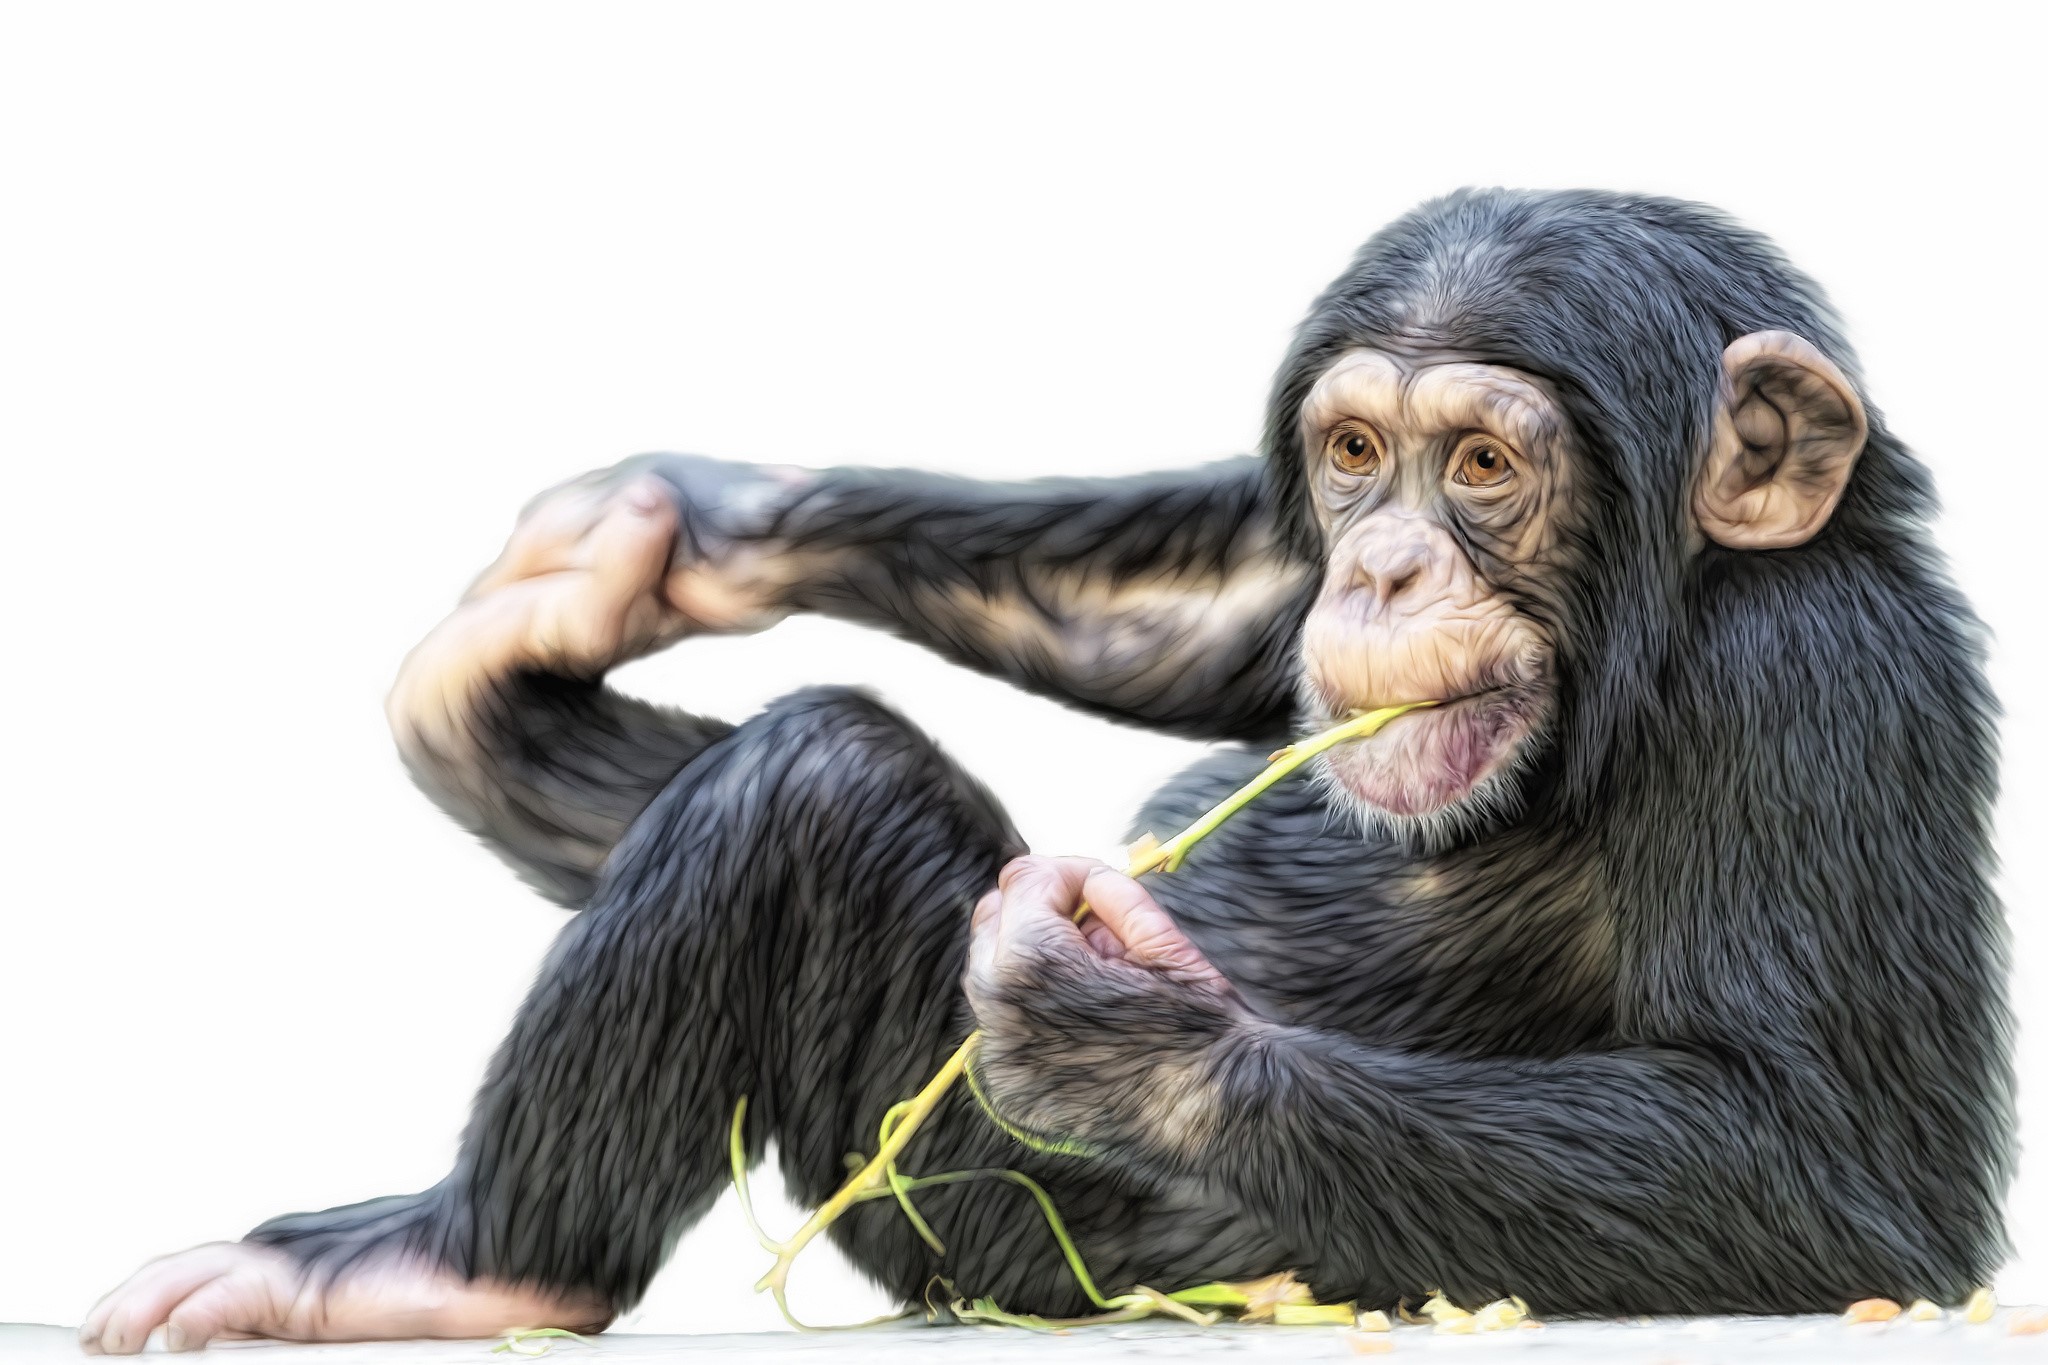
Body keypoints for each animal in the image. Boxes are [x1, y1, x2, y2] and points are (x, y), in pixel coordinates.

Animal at [80, 188, 2009, 1354]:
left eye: (1481, 466)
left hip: (1008, 1230)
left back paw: (456, 1262)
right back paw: (501, 716)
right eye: (1356, 453)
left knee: (812, 781)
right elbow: (1208, 600)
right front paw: (691, 530)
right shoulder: (1263, 580)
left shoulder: (1811, 682)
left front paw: (1119, 1030)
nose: (1384, 569)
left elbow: (1836, 1166)